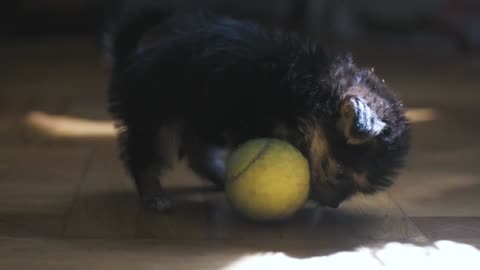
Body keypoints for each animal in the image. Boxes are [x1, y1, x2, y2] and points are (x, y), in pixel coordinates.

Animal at [107, 8, 410, 212]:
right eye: (339, 173)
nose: (334, 205)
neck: (310, 92)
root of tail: (133, 60)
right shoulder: (253, 116)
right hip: (156, 115)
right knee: (146, 155)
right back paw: (153, 195)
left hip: (196, 116)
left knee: (198, 151)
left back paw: (220, 176)